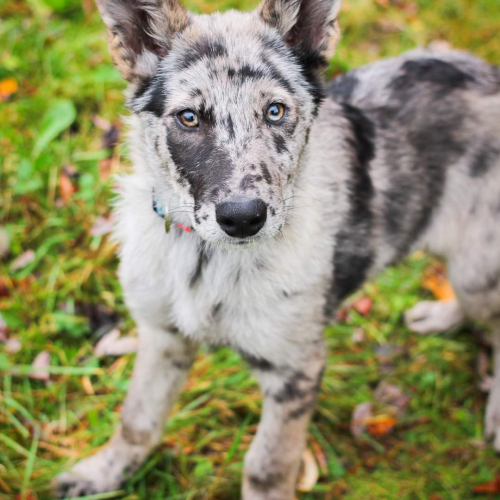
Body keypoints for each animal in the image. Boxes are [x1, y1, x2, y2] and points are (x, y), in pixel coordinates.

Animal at [53, 0, 500, 498]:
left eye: (274, 111)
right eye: (190, 118)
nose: (243, 218)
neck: (207, 261)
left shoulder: (296, 370)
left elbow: (266, 466)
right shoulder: (162, 336)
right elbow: (137, 421)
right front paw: (102, 473)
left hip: (476, 267)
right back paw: (440, 316)